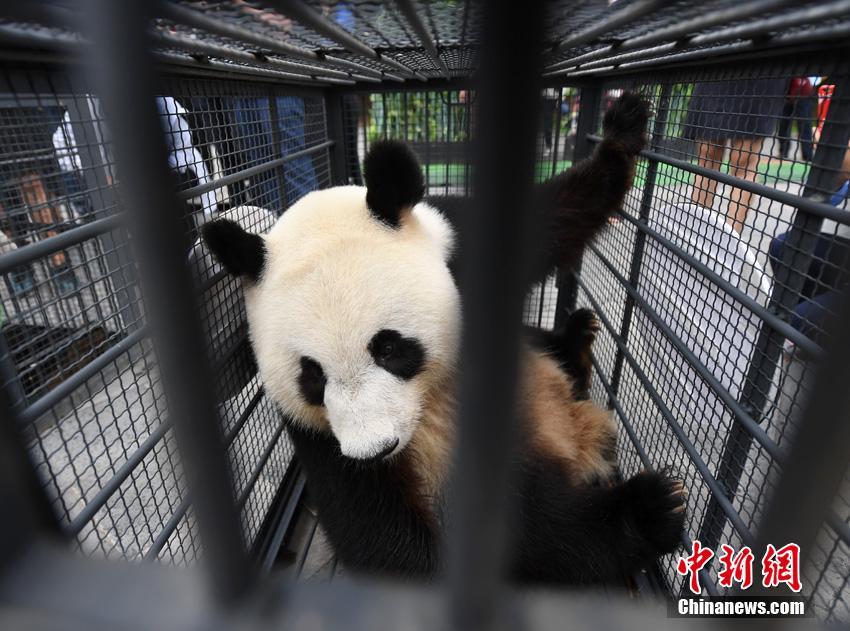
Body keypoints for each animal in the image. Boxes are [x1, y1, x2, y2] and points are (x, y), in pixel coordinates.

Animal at [202, 92, 686, 584]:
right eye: (313, 377)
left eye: (389, 348)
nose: (375, 449)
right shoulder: (316, 433)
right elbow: (379, 530)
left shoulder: (462, 248)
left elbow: (549, 219)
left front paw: (621, 134)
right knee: (542, 526)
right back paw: (646, 511)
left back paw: (577, 342)